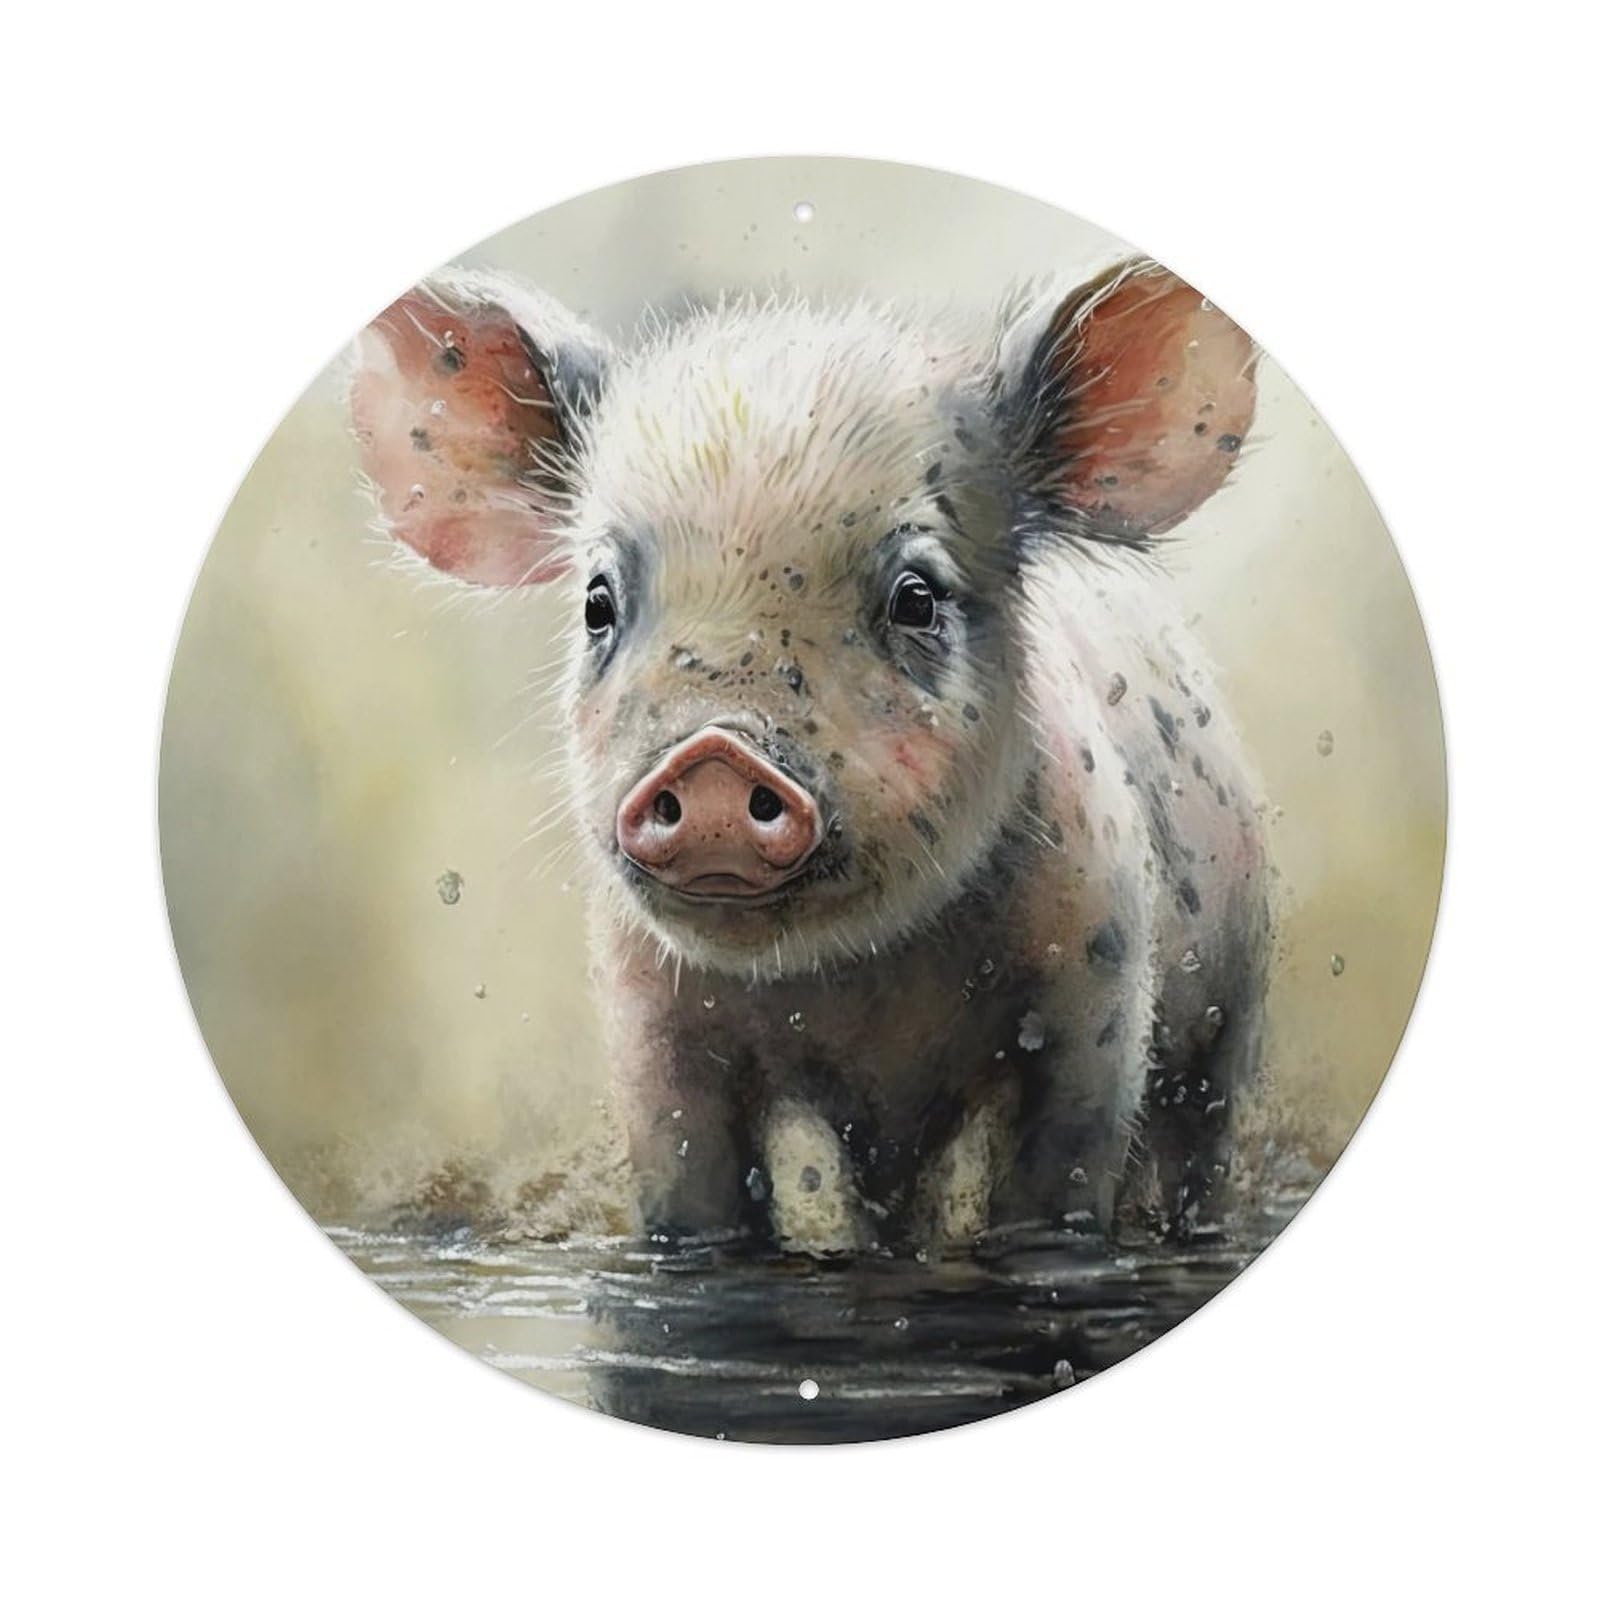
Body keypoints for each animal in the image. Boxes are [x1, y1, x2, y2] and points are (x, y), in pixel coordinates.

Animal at [350, 256, 1270, 1252]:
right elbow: (695, 1203)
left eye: (917, 597)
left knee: (1197, 1149)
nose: (714, 755)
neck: (858, 986)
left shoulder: (1096, 992)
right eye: (598, 601)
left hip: (1231, 1011)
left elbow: (1054, 1192)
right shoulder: (650, 1023)